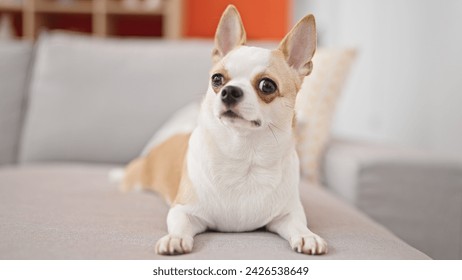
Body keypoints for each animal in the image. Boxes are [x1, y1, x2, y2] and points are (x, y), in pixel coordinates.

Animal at [119, 4, 328, 256]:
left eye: (267, 85)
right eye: (217, 79)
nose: (229, 91)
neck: (244, 156)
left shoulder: (288, 214)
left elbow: (298, 224)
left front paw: (307, 236)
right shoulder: (183, 210)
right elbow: (179, 223)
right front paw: (174, 238)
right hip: (135, 179)